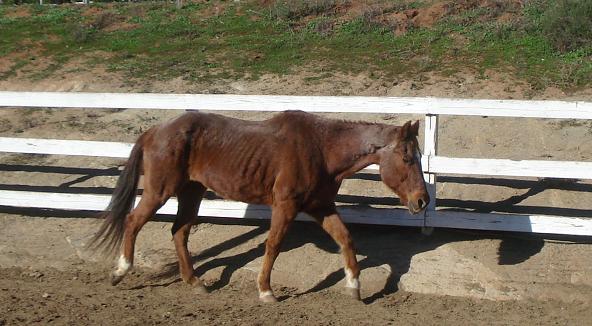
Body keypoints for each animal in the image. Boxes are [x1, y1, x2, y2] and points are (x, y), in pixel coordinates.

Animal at [90, 110, 428, 304]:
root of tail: (155, 131)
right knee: (133, 221)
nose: (422, 201)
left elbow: (345, 239)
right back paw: (120, 271)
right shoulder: (286, 205)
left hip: (191, 191)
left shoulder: (321, 206)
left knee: (179, 232)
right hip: (160, 191)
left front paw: (354, 287)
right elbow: (273, 245)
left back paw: (195, 282)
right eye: (407, 157)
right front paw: (266, 291)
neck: (320, 148)